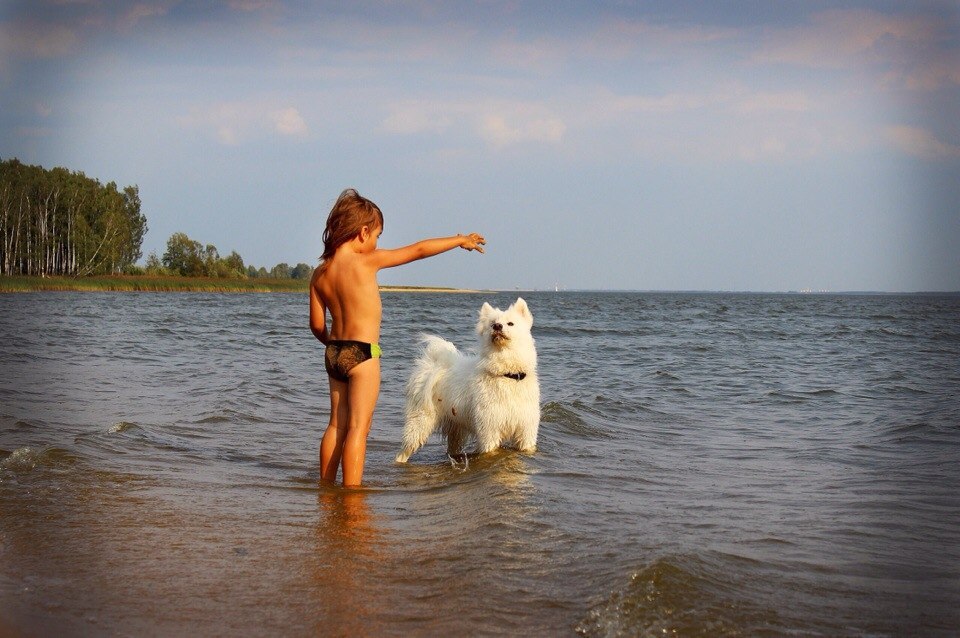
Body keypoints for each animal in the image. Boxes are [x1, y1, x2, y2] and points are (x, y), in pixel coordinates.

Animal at [392, 298, 540, 462]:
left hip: (456, 429)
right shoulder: (489, 430)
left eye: (510, 323)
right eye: (492, 323)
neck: (507, 374)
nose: (497, 326)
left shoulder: (526, 431)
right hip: (420, 422)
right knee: (405, 448)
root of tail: (432, 364)